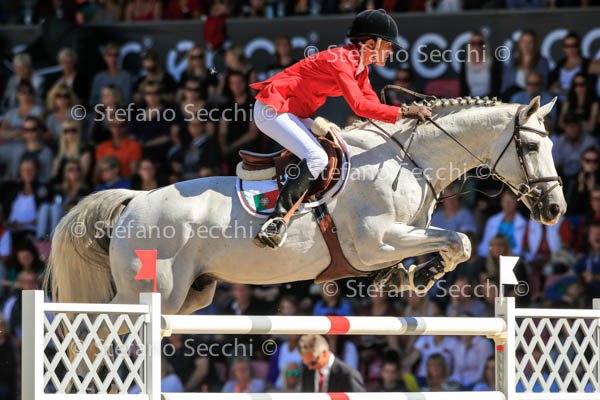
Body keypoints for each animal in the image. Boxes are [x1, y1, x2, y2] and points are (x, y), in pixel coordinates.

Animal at [45, 96, 566, 314]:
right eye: (532, 146)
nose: (555, 210)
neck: (409, 160)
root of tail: (135, 201)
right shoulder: (374, 243)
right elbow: (460, 240)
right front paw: (420, 274)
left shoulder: (399, 238)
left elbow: (455, 244)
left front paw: (410, 276)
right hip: (150, 291)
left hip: (191, 295)